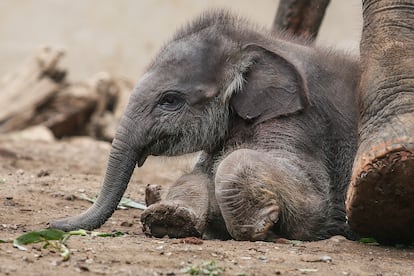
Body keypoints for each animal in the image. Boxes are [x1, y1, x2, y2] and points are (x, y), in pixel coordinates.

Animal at [49, 9, 360, 240]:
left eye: (170, 100)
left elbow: (314, 206)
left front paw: (261, 224)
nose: (52, 224)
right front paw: (169, 218)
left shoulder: (301, 121)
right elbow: (197, 174)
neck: (256, 41)